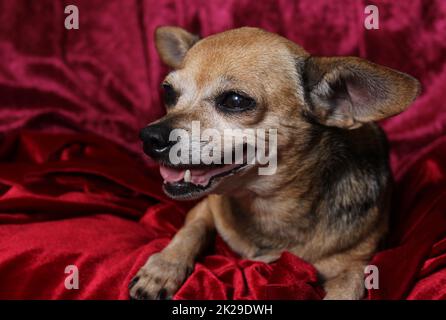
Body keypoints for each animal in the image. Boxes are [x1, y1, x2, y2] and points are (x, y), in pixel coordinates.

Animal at [128, 26, 418, 298]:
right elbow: (190, 231)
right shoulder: (204, 209)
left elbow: (346, 289)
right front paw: (161, 270)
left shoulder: (356, 266)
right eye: (168, 92)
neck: (266, 205)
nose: (150, 137)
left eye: (234, 100)